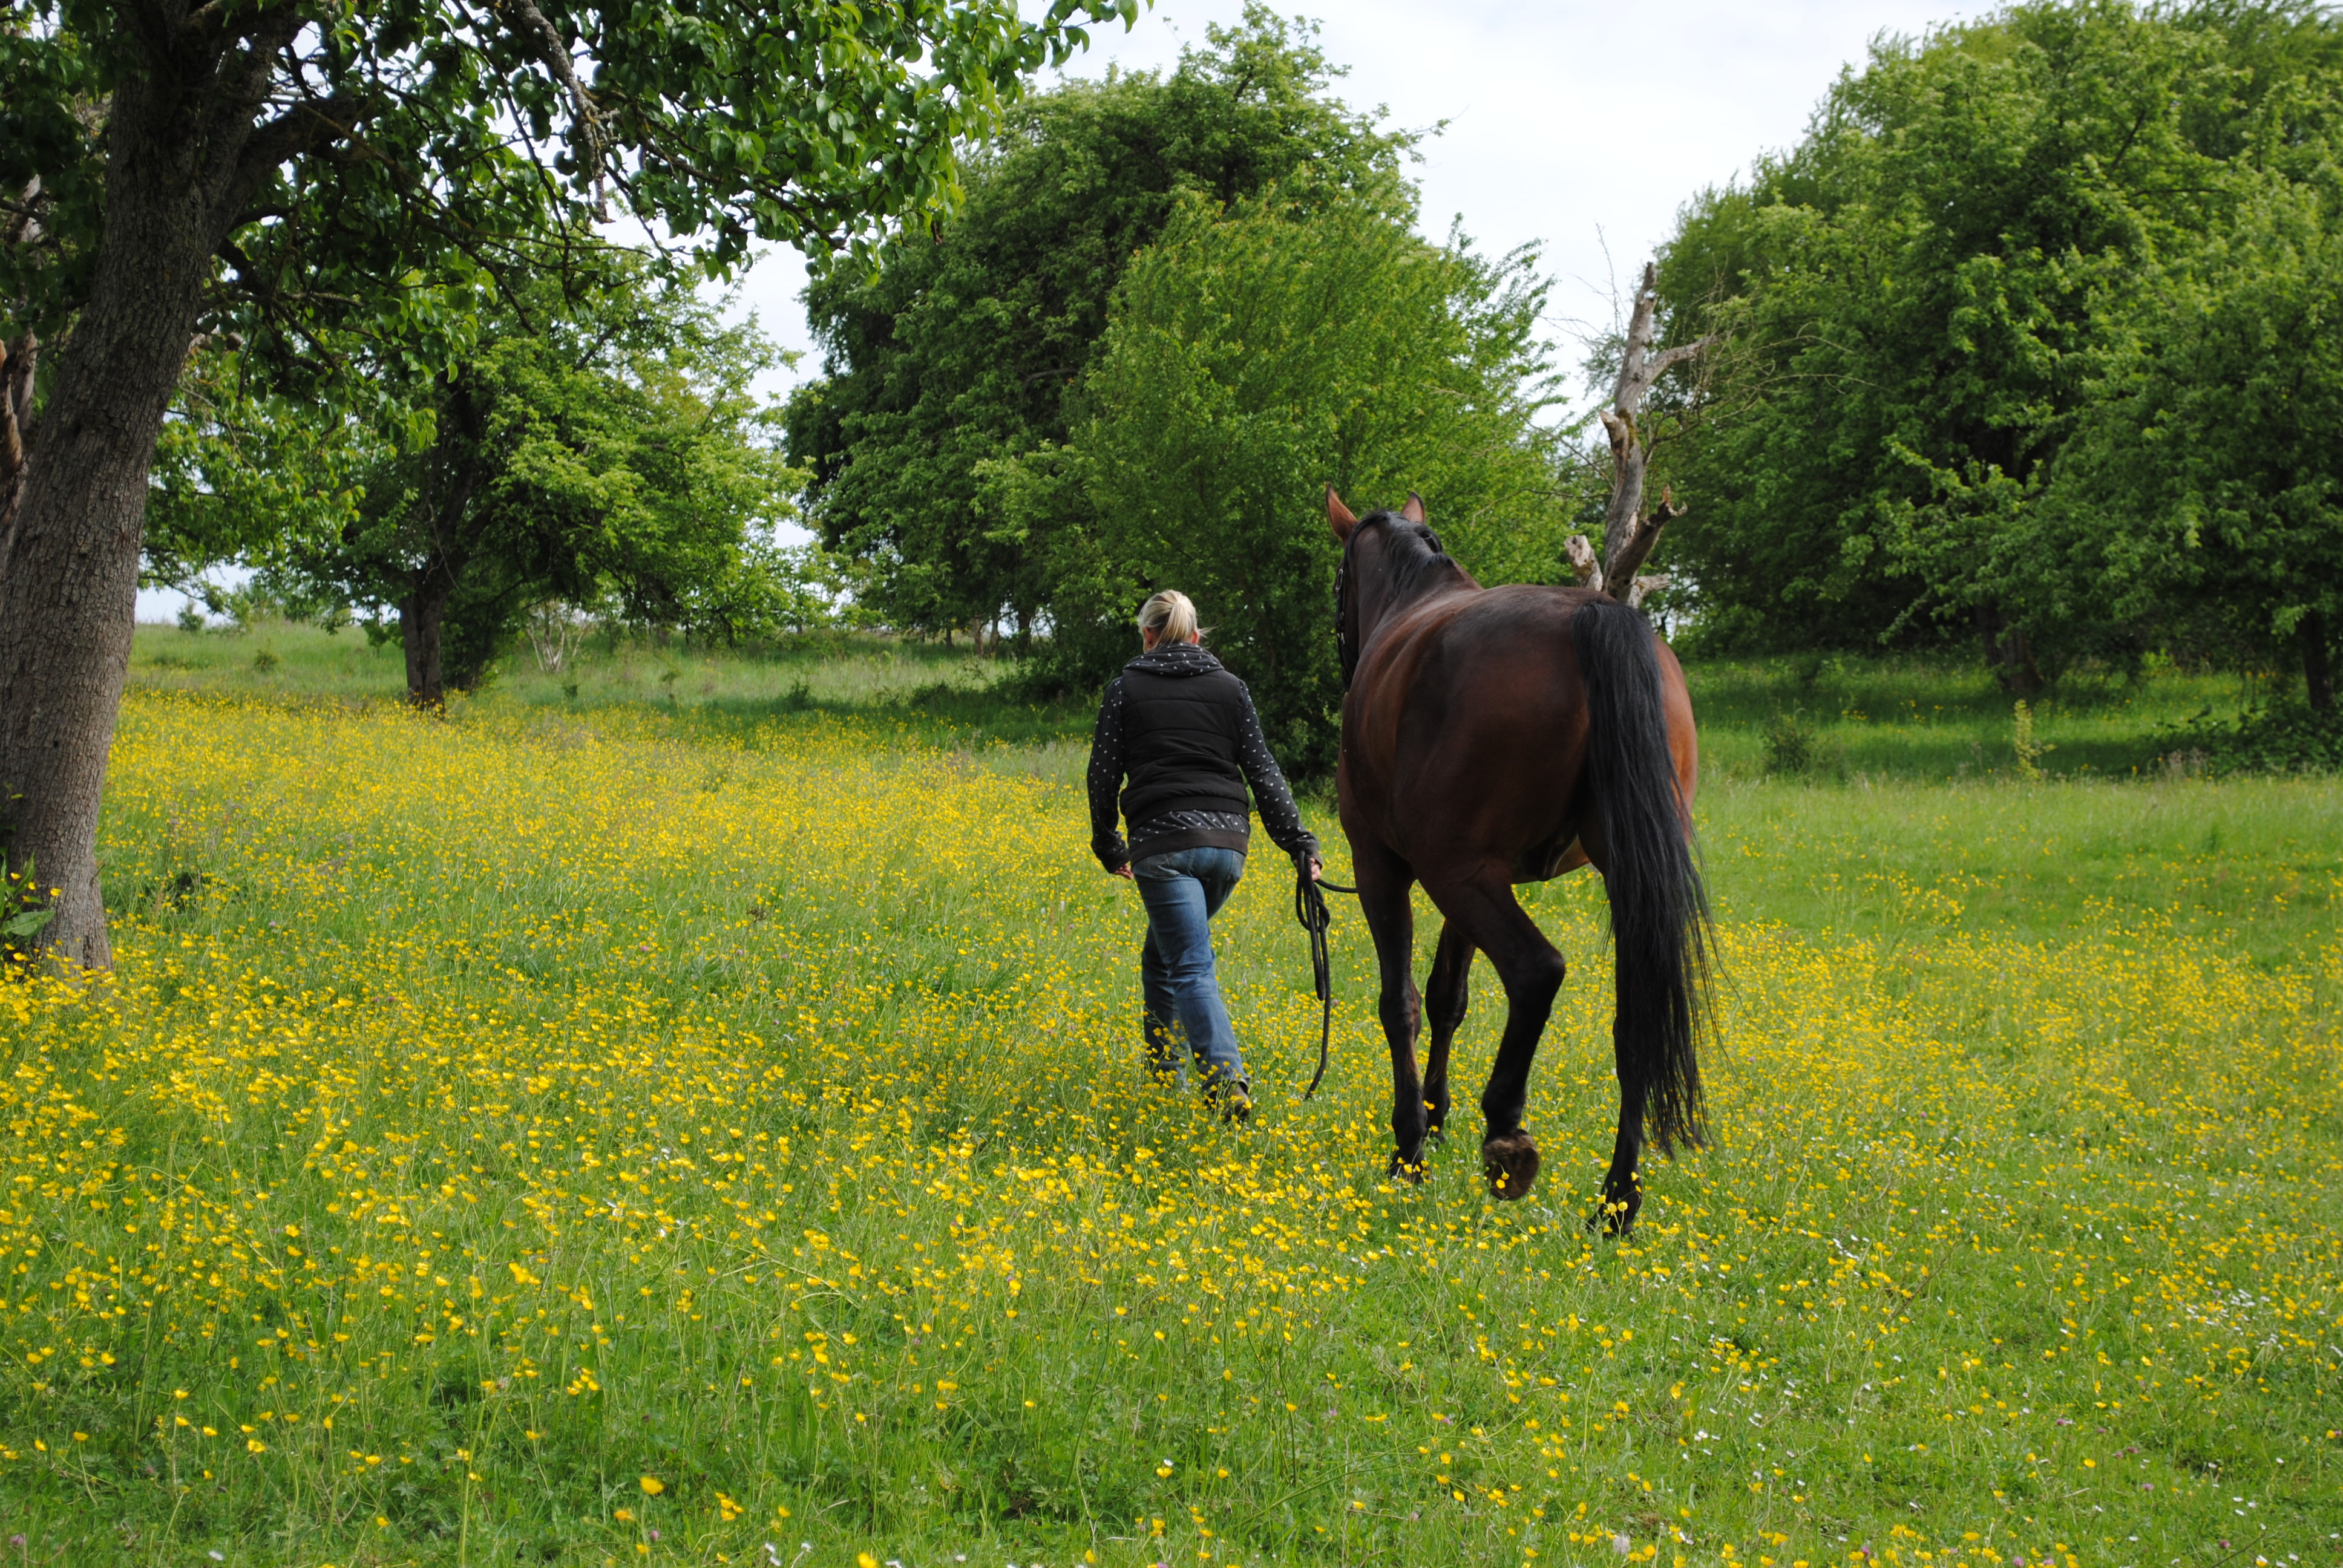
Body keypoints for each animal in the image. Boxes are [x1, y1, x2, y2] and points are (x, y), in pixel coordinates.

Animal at [1328, 488, 1711, 1234]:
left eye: (1338, 585)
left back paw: (1506, 1130)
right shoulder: (1473, 884)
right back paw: (1616, 1200)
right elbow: (1447, 998)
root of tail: (1597, 616)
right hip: (1587, 882)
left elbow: (1402, 1002)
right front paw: (1434, 1117)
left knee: (1537, 971)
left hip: (1457, 877)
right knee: (1634, 1019)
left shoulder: (1384, 869)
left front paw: (1410, 1146)